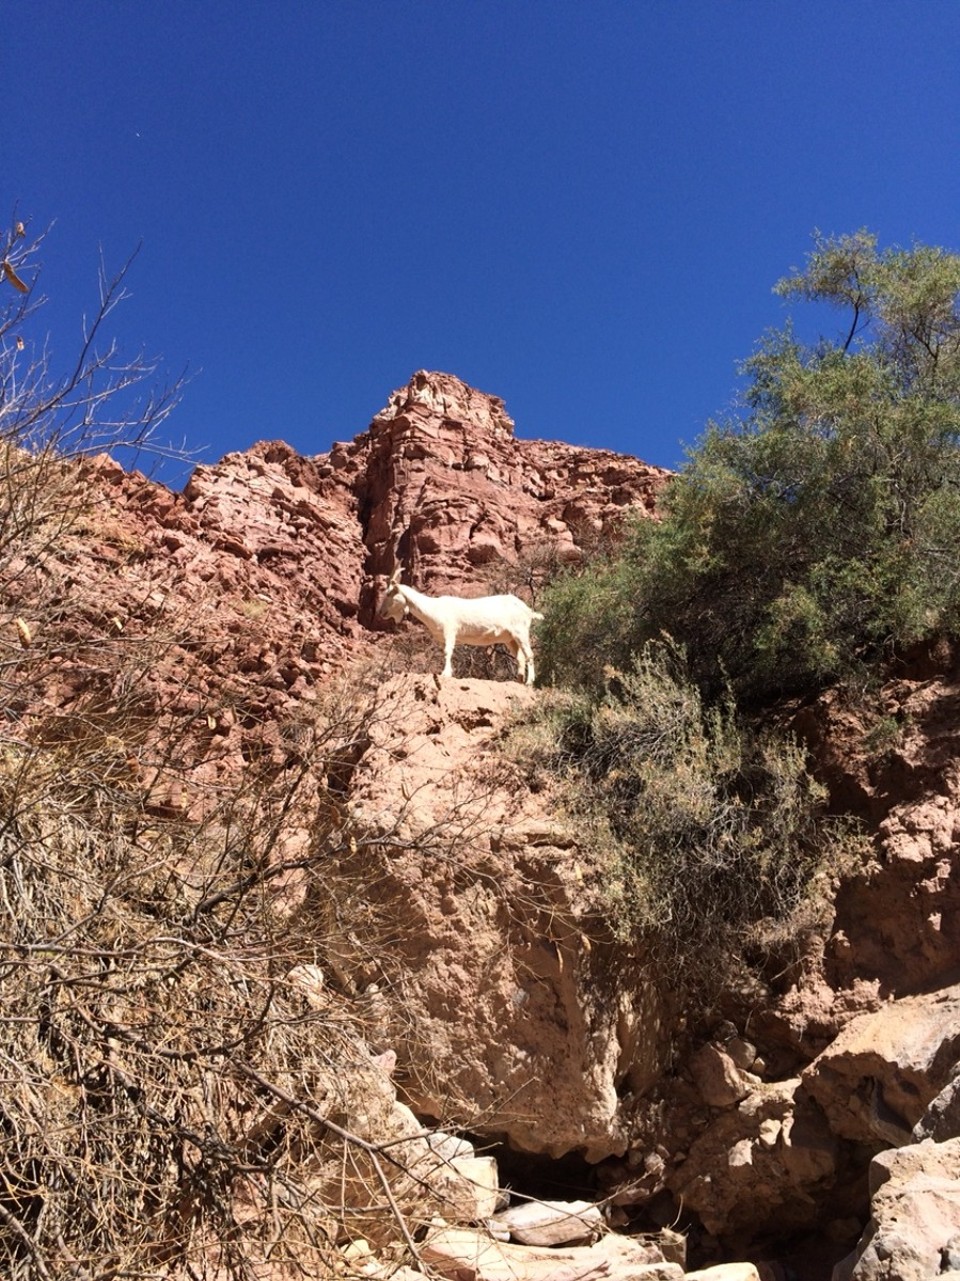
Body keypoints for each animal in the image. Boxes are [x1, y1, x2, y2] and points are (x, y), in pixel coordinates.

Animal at [379, 571, 543, 686]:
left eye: (389, 593)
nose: (381, 613)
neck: (434, 608)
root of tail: (527, 610)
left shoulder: (450, 631)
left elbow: (448, 652)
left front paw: (445, 674)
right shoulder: (442, 638)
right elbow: (445, 653)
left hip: (521, 632)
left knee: (530, 654)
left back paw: (529, 682)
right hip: (510, 638)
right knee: (520, 657)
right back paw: (518, 681)